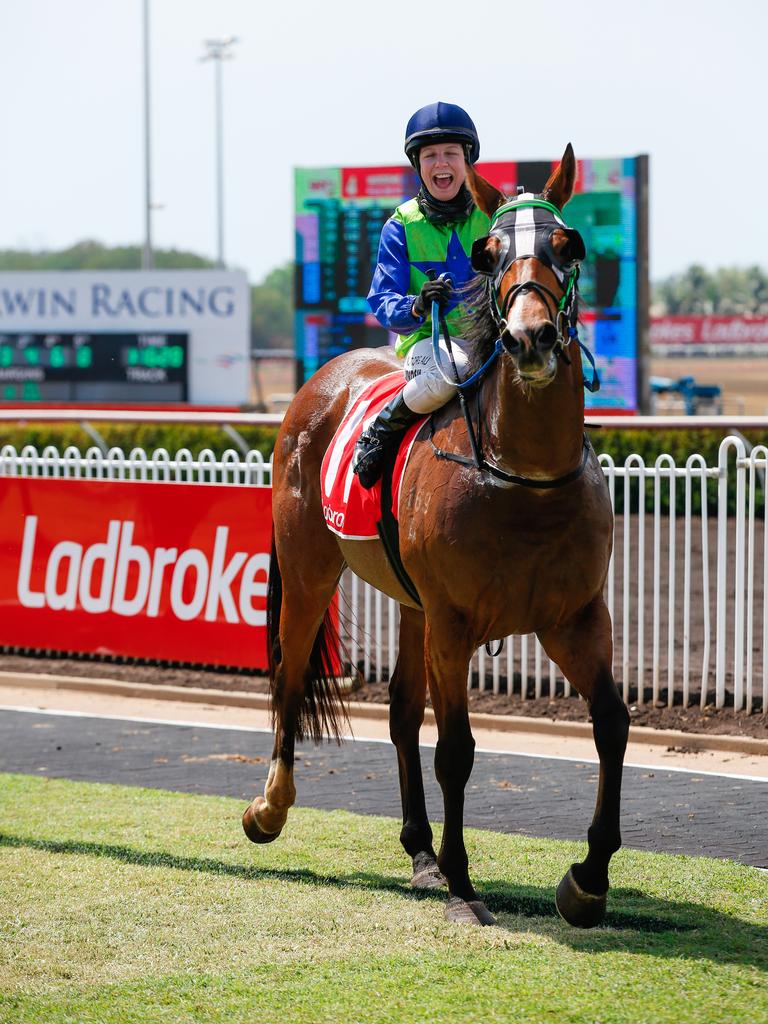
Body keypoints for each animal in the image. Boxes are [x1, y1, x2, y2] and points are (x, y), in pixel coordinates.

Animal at [244, 146, 630, 929]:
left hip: (409, 602)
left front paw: (587, 878)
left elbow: (610, 721)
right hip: (309, 570)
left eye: (568, 244)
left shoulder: (575, 618)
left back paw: (418, 848)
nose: (529, 338)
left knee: (397, 710)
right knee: (291, 675)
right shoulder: (454, 623)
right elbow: (455, 748)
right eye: (488, 254)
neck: (522, 478)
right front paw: (461, 882)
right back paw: (270, 808)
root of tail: (322, 379)